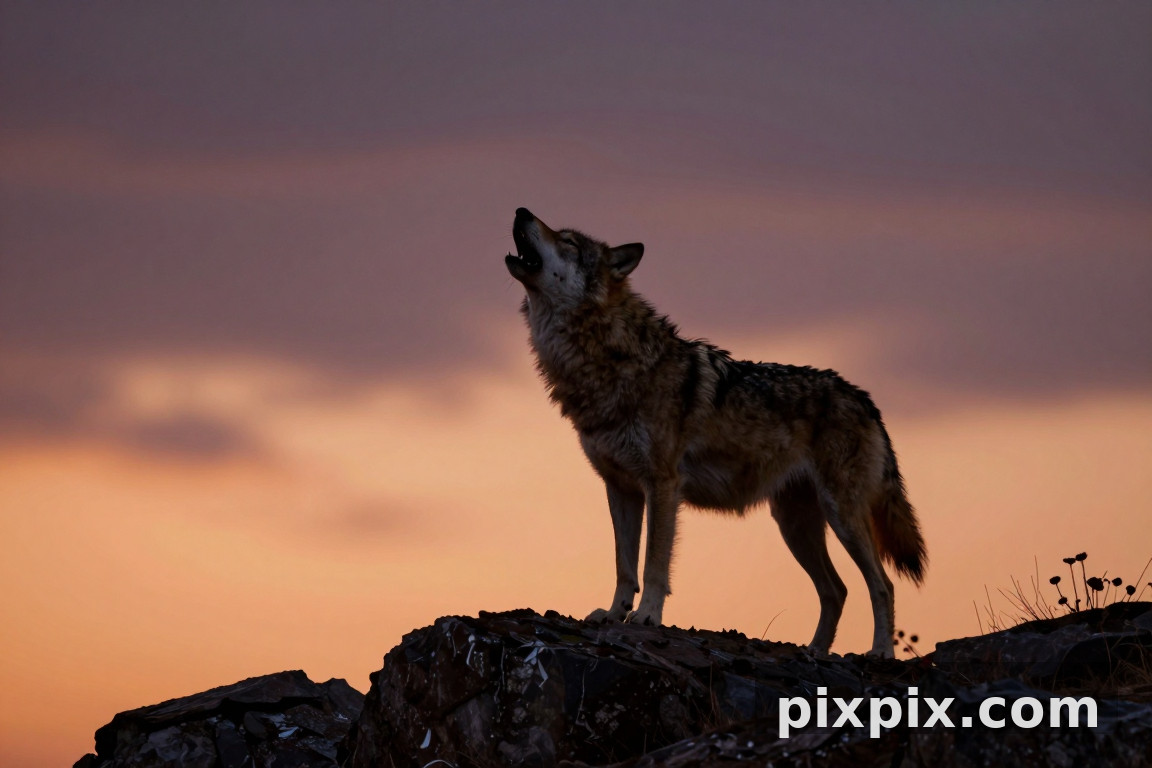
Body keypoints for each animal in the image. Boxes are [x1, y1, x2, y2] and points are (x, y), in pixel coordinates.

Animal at [505, 207, 926, 657]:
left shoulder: (663, 485)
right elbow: (624, 565)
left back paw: (880, 653)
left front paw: (647, 616)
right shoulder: (620, 488)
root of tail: (864, 398)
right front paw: (614, 614)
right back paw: (814, 650)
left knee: (882, 585)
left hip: (841, 515)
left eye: (568, 241)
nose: (521, 211)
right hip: (795, 525)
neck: (609, 359)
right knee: (837, 590)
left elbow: (653, 563)